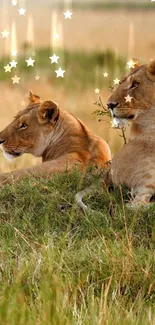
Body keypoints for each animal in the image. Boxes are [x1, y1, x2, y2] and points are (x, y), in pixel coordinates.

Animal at [75, 59, 155, 209]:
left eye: (135, 84)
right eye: (121, 82)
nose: (109, 105)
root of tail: (109, 172)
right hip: (149, 173)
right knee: (132, 205)